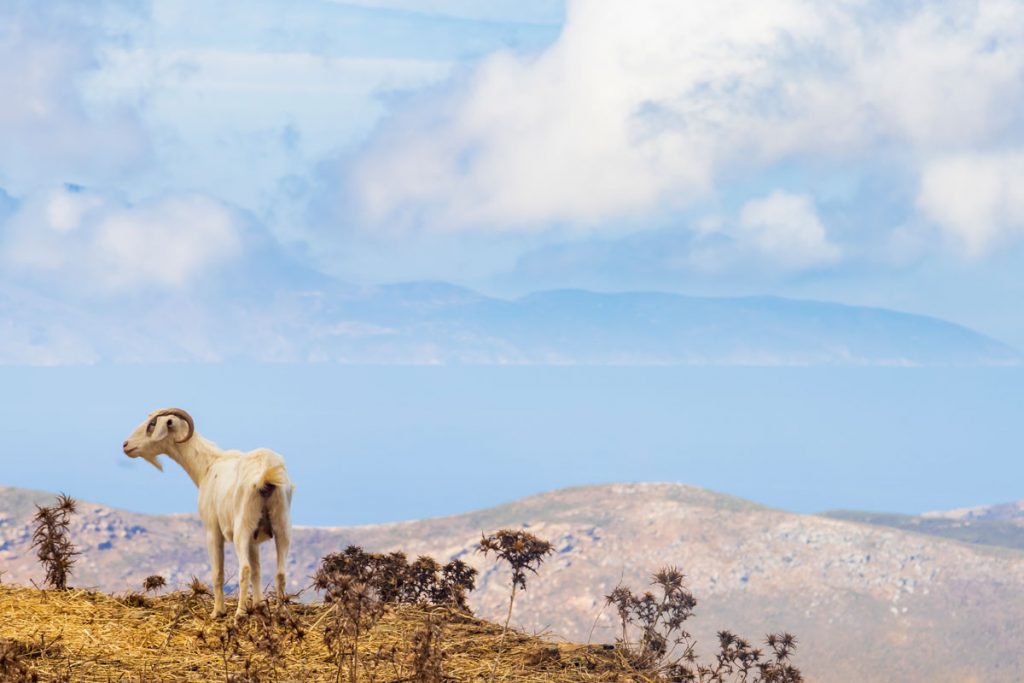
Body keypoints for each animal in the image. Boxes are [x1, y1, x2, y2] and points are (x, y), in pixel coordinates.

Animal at [122, 409, 296, 622]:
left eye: (152, 425)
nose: (126, 445)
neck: (208, 465)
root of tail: (265, 473)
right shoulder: (254, 541)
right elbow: (258, 570)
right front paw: (259, 606)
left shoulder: (213, 530)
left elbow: (218, 572)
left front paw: (218, 612)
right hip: (282, 526)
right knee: (280, 573)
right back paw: (282, 614)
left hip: (242, 528)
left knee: (244, 569)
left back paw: (239, 614)